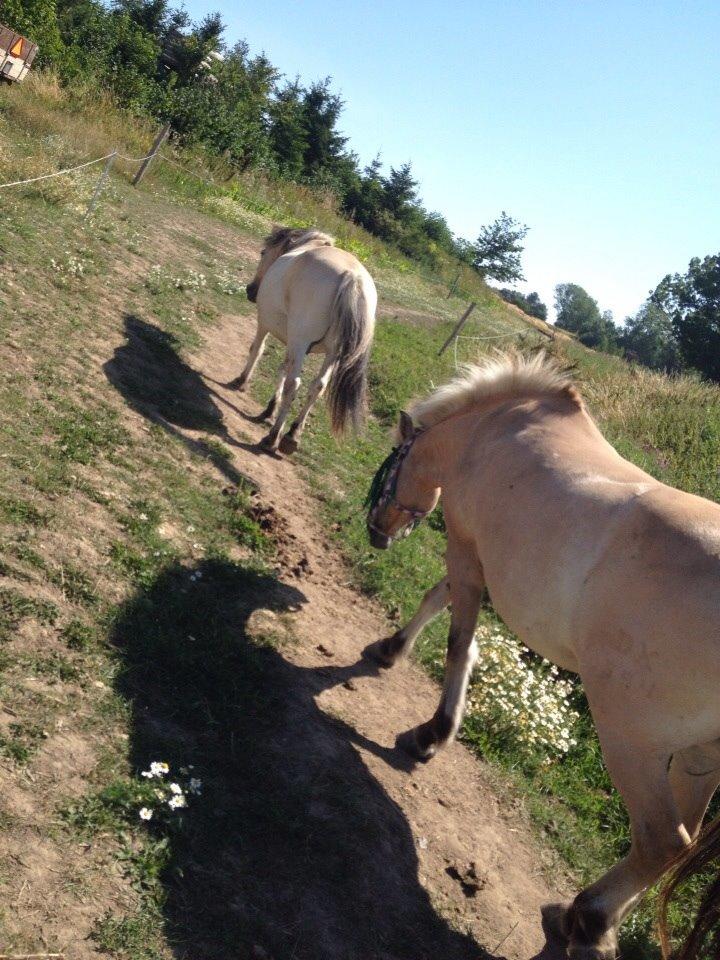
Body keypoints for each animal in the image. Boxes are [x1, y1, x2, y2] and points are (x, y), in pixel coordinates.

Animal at [229, 226, 376, 454]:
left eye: (263, 252)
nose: (250, 290)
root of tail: (352, 276)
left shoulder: (266, 325)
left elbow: (257, 349)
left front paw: (241, 381)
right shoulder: (294, 345)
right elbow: (283, 367)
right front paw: (270, 408)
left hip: (299, 341)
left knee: (294, 385)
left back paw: (272, 438)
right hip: (333, 353)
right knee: (318, 386)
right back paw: (292, 434)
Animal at [366, 352, 720, 960]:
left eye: (394, 460)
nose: (377, 532)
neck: (488, 430)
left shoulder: (465, 546)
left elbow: (458, 642)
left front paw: (432, 733)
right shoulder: (473, 553)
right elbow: (435, 600)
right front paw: (390, 648)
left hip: (631, 741)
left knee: (662, 840)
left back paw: (588, 920)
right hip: (701, 755)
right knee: (679, 842)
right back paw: (583, 920)